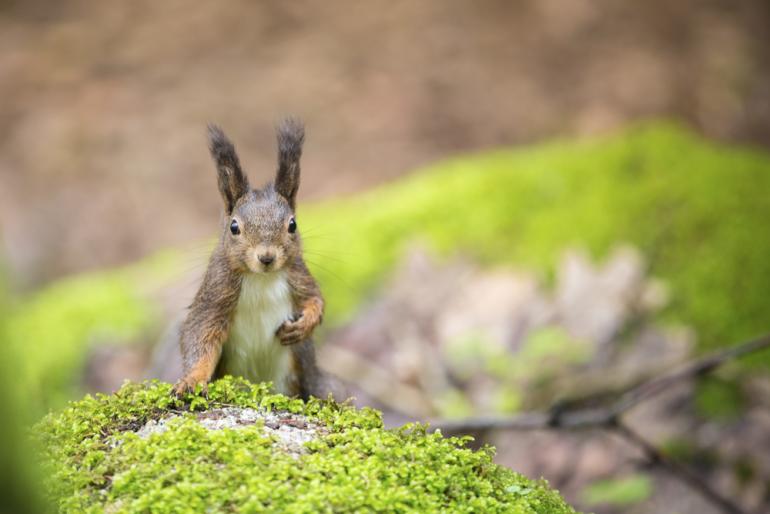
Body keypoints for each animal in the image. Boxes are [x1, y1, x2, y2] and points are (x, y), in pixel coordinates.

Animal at [171, 118, 328, 398]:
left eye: (292, 225)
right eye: (234, 227)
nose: (266, 257)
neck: (261, 279)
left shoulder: (297, 272)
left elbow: (315, 299)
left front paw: (304, 325)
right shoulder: (217, 289)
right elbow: (199, 332)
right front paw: (192, 380)